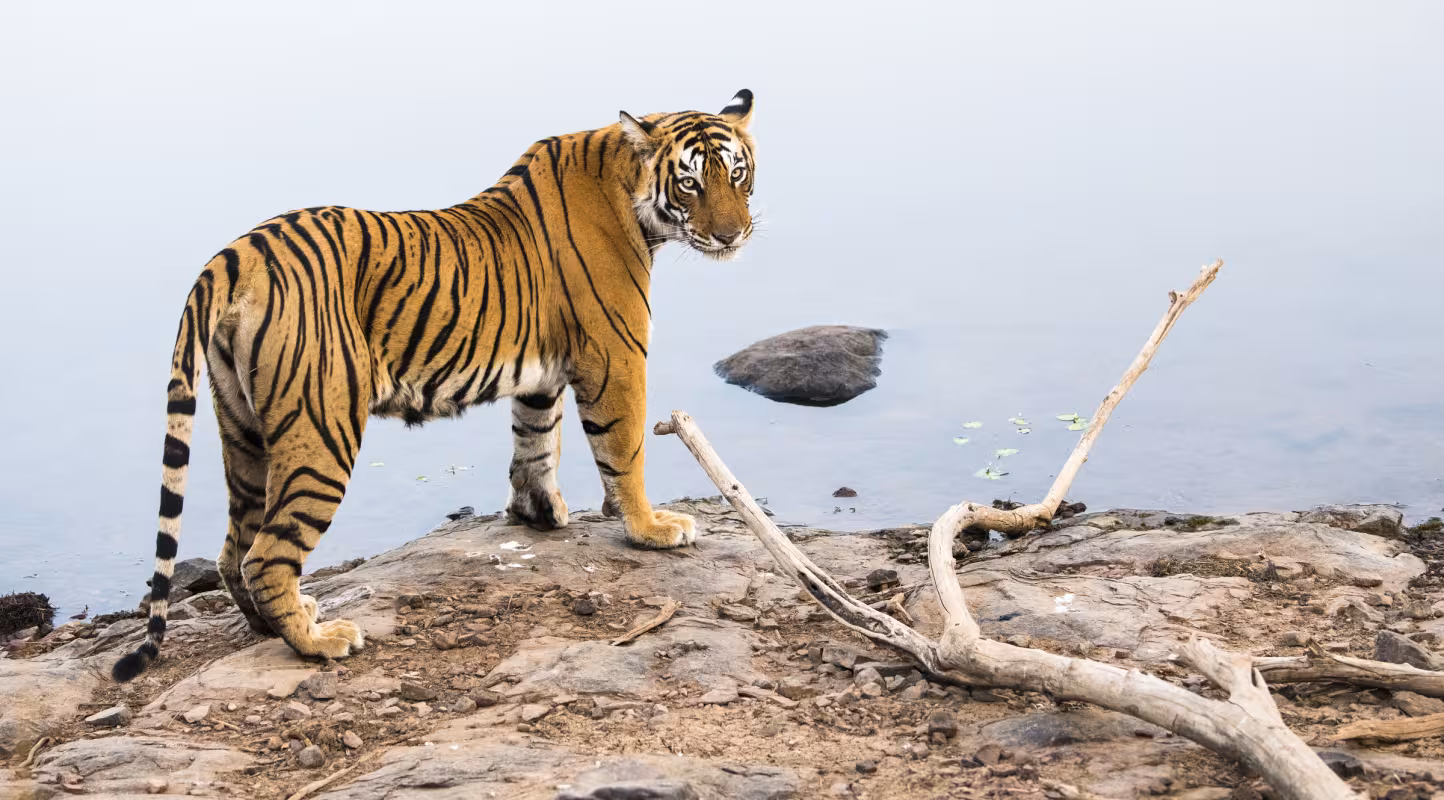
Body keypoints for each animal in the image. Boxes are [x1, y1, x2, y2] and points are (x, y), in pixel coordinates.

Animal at [111, 90, 757, 682]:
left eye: (737, 174)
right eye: (690, 184)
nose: (733, 236)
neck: (626, 185)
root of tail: (235, 253)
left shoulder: (542, 370)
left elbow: (535, 439)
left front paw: (538, 514)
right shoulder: (616, 356)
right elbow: (623, 449)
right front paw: (651, 529)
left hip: (243, 430)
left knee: (233, 551)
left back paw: (281, 623)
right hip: (322, 430)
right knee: (267, 555)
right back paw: (320, 642)